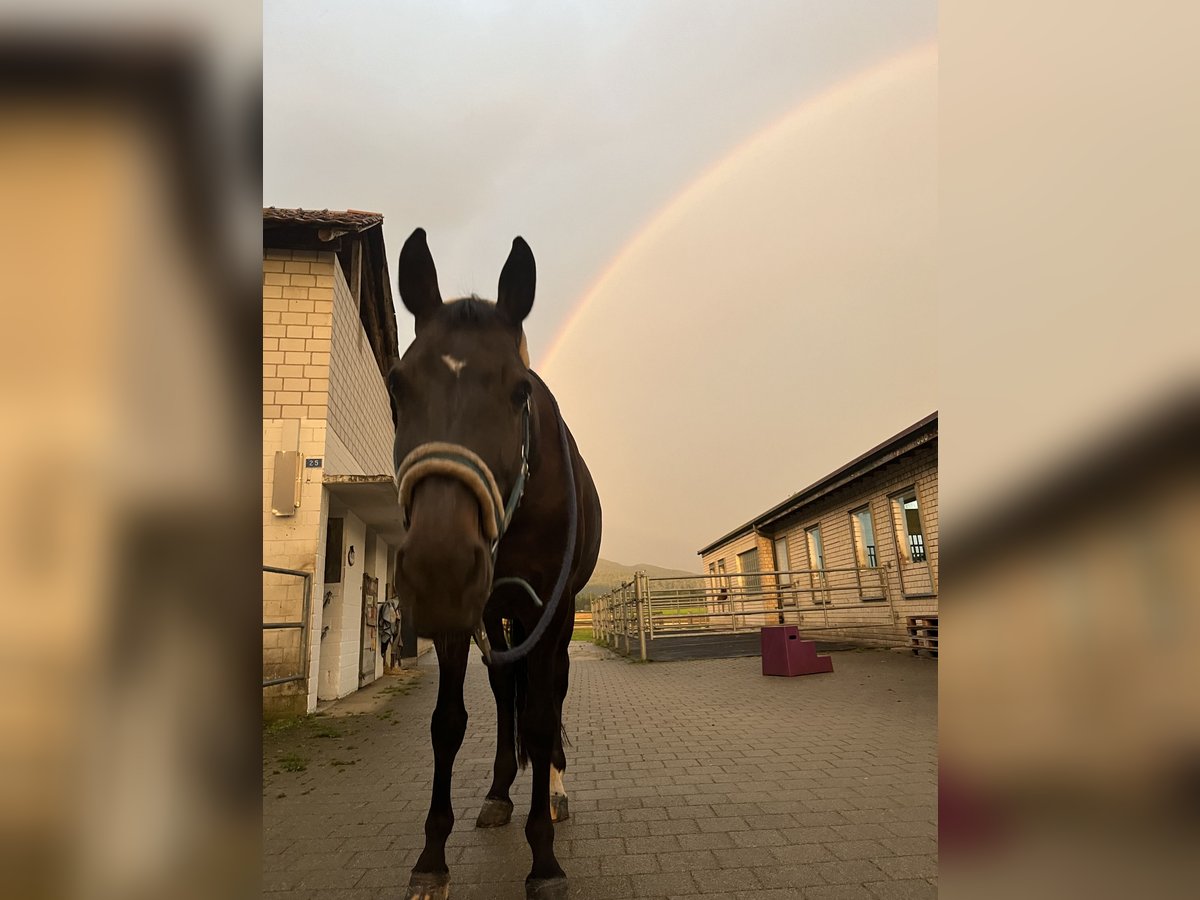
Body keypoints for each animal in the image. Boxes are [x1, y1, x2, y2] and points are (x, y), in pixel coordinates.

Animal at [391, 230, 600, 900]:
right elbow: (448, 722)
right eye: (398, 384)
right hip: (495, 614)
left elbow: (540, 716)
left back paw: (553, 789)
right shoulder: (464, 616)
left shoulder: (550, 609)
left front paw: (545, 860)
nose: (439, 565)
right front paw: (433, 856)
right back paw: (501, 791)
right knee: (504, 691)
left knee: (548, 695)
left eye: (520, 390)